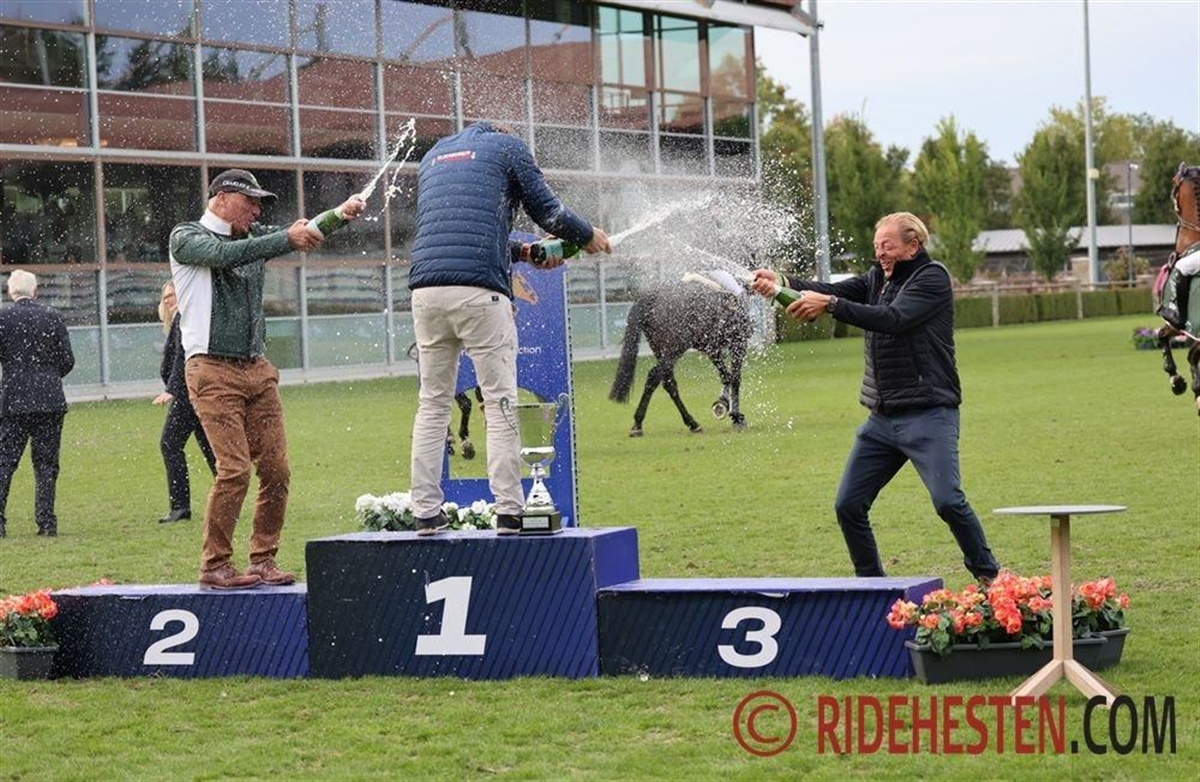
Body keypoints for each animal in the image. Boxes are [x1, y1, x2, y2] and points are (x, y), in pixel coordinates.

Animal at [609, 277, 752, 436]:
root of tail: (653, 296)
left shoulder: (712, 349)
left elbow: (726, 376)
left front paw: (724, 404)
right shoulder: (738, 344)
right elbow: (735, 378)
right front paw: (736, 417)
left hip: (662, 351)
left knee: (669, 383)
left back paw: (692, 423)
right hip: (674, 350)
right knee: (654, 377)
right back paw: (637, 424)